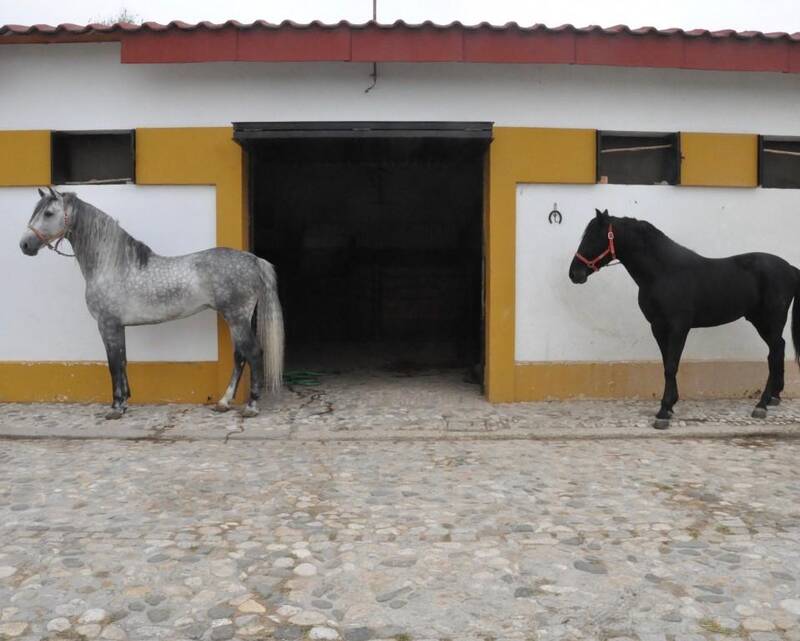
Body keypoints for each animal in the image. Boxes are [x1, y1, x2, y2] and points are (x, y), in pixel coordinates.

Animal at [19, 188, 284, 418]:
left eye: (48, 213)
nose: (24, 245)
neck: (112, 264)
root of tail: (253, 259)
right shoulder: (118, 326)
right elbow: (123, 360)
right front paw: (125, 401)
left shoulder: (107, 324)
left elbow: (113, 364)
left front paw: (116, 408)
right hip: (237, 318)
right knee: (240, 356)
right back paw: (223, 402)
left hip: (237, 317)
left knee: (253, 353)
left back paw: (251, 406)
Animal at [568, 210, 800, 430]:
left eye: (593, 237)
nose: (574, 274)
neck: (663, 272)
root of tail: (790, 268)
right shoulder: (658, 327)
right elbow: (667, 363)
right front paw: (670, 406)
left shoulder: (678, 327)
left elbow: (671, 365)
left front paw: (663, 412)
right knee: (778, 350)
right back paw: (774, 398)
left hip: (769, 321)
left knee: (775, 352)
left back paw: (762, 404)